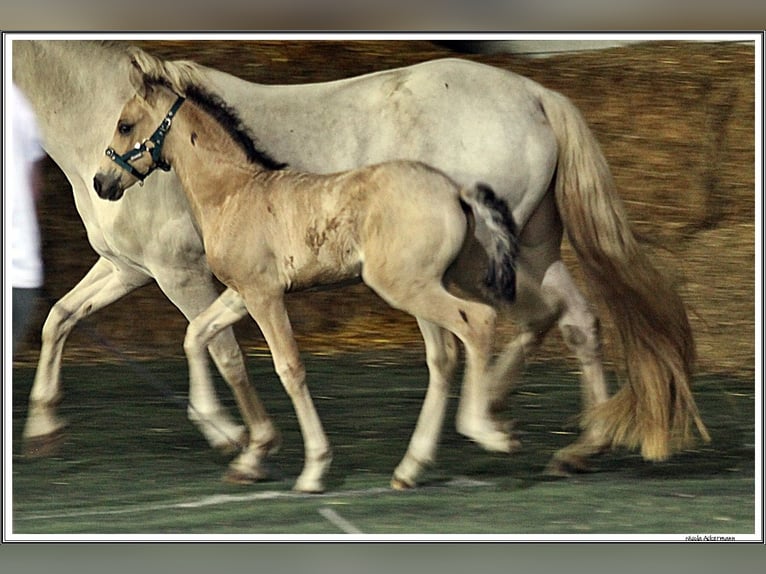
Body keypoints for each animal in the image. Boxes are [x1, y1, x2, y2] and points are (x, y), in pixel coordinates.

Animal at [13, 40, 708, 484]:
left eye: (127, 124)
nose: (104, 182)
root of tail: (536, 92)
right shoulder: (128, 267)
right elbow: (60, 318)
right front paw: (43, 425)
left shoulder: (178, 271)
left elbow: (224, 351)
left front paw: (241, 440)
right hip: (528, 249)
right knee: (569, 323)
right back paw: (568, 442)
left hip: (475, 264)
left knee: (495, 331)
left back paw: (490, 428)